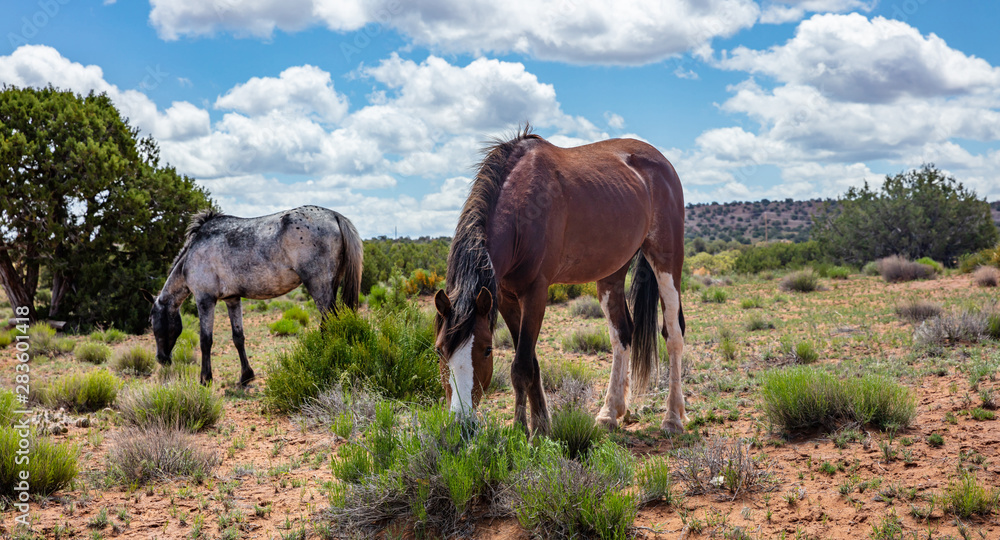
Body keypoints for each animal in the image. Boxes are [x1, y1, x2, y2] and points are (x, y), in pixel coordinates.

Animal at [143, 205, 366, 386]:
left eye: (152, 320)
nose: (161, 358)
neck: (192, 254)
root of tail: (334, 215)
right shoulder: (232, 299)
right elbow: (238, 337)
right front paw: (246, 376)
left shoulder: (205, 300)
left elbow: (205, 341)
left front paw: (205, 379)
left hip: (319, 287)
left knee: (329, 324)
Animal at [434, 126, 684, 434]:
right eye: (439, 351)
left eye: (487, 350)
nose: (461, 424)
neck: (521, 209)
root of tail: (664, 164)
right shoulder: (504, 298)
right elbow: (531, 362)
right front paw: (541, 424)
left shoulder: (536, 293)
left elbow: (521, 367)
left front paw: (521, 430)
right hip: (611, 273)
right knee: (622, 334)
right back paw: (610, 413)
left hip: (667, 262)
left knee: (673, 335)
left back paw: (673, 418)